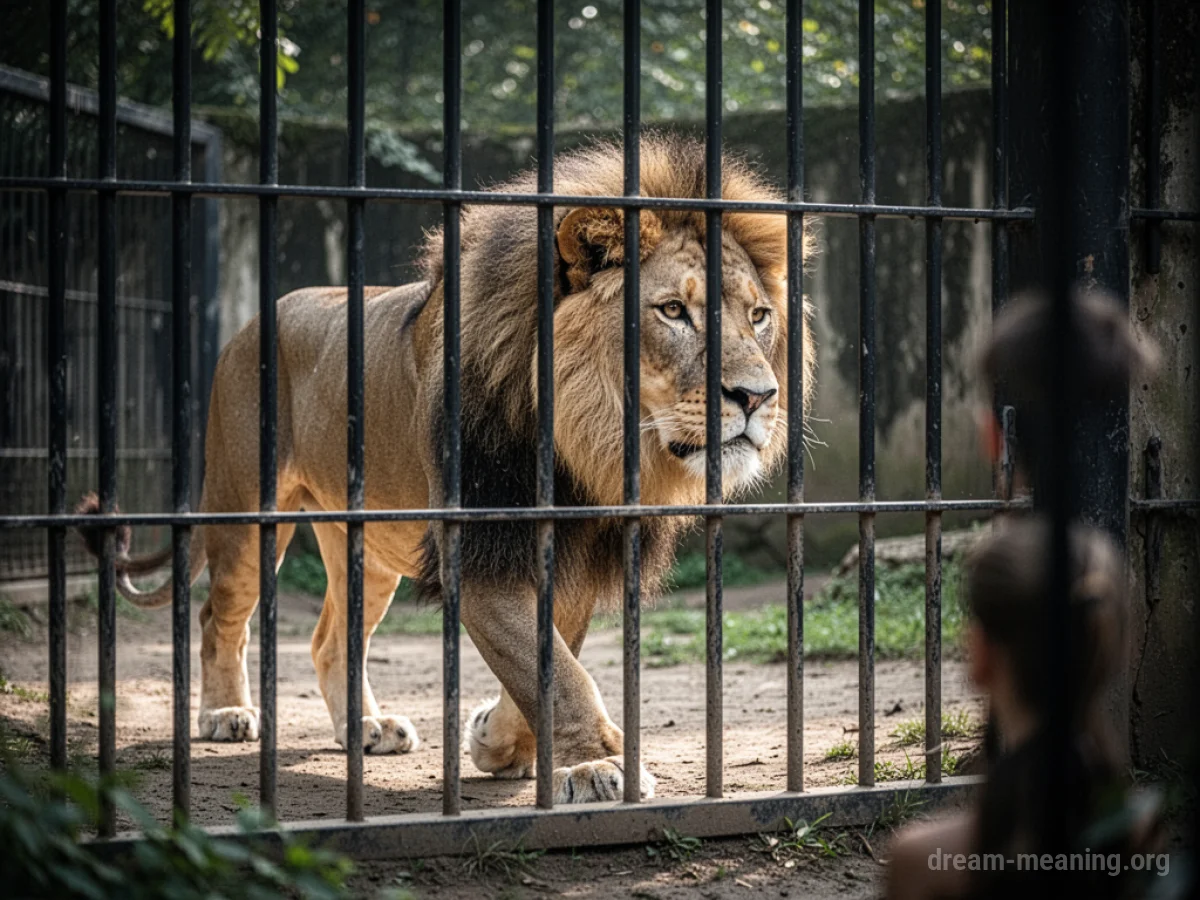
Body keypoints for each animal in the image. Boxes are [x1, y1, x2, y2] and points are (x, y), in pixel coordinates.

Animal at [77, 134, 815, 804]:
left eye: (759, 316)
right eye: (672, 311)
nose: (759, 396)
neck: (588, 449)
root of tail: (252, 322)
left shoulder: (571, 555)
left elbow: (550, 659)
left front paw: (497, 740)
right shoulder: (482, 547)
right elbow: (555, 672)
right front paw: (594, 764)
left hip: (366, 544)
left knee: (329, 639)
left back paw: (366, 727)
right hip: (246, 511)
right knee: (218, 616)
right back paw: (225, 713)